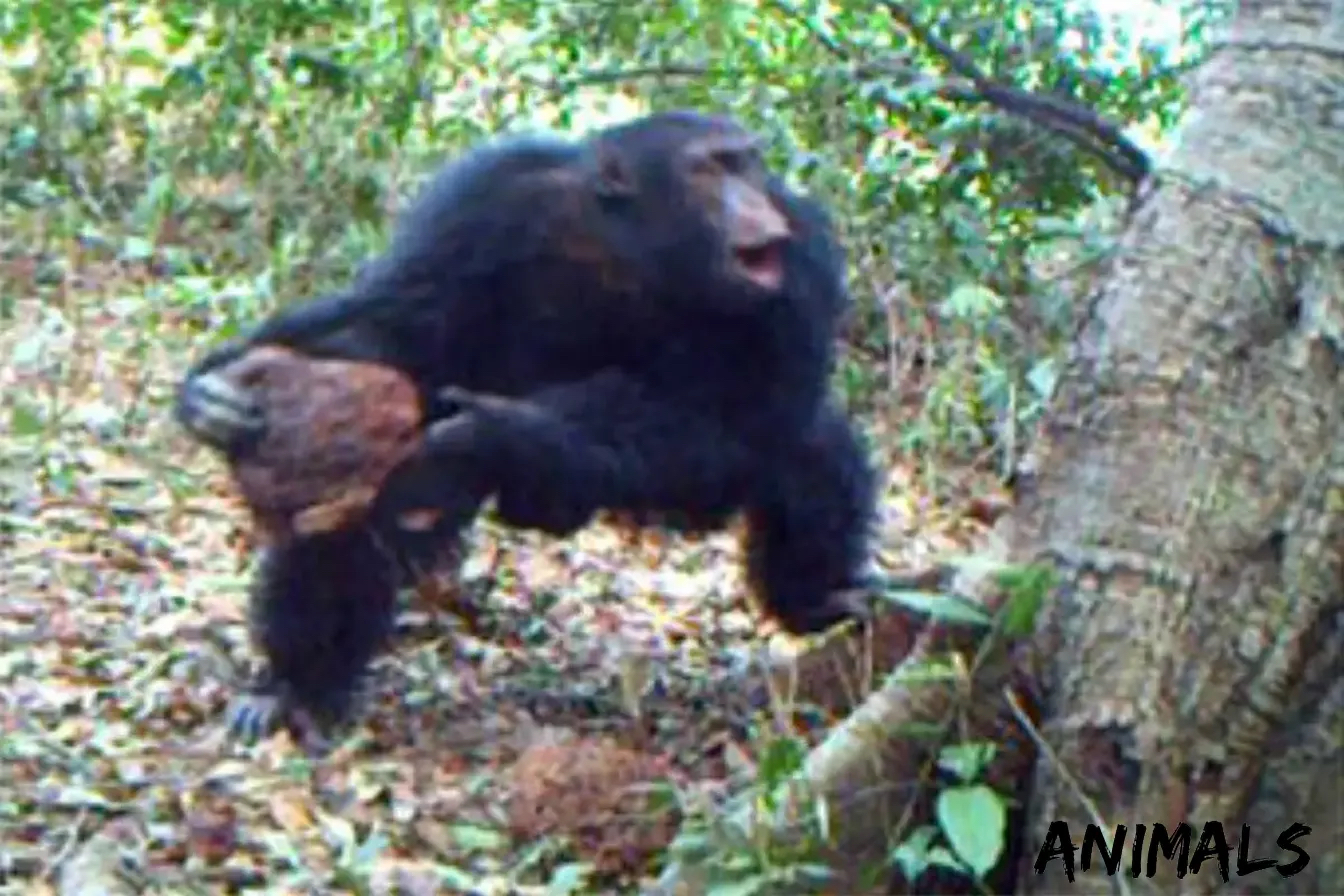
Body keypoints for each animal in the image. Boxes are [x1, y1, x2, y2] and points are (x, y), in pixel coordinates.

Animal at [173, 108, 876, 746]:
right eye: (713, 167)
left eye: (749, 164)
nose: (754, 198)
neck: (635, 244)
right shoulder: (485, 198)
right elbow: (397, 317)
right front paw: (211, 392)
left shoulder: (802, 256)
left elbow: (738, 413)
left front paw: (493, 433)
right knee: (344, 517)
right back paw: (296, 688)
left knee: (812, 454)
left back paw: (820, 599)